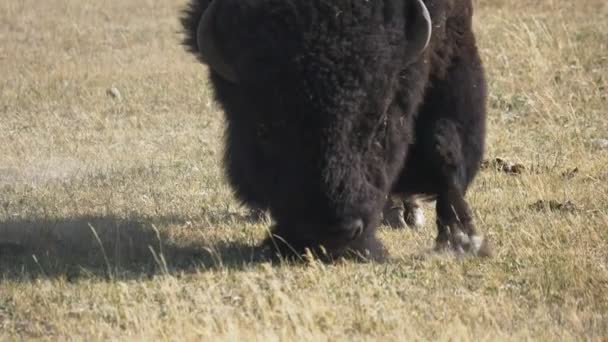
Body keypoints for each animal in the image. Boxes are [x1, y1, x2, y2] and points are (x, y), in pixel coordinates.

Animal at [179, 0, 490, 260]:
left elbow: (447, 148)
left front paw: (462, 239)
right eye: (265, 130)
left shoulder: (452, 51)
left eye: (379, 120)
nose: (333, 233)